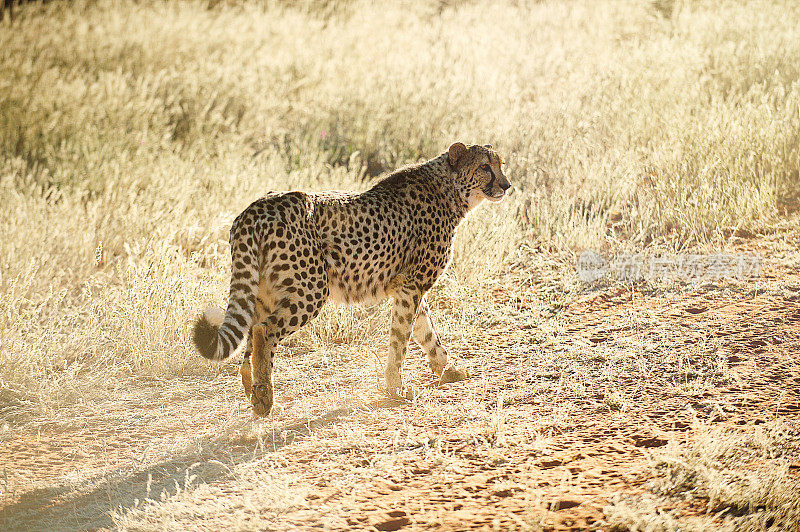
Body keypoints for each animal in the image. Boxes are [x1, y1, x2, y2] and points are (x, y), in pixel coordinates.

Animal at [191, 143, 510, 418]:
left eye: (500, 165)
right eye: (485, 167)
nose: (506, 185)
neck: (449, 189)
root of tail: (257, 206)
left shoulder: (409, 288)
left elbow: (427, 333)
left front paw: (447, 370)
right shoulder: (411, 286)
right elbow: (400, 341)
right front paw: (397, 389)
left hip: (265, 290)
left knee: (250, 332)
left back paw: (255, 392)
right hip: (310, 289)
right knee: (262, 332)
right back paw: (266, 398)